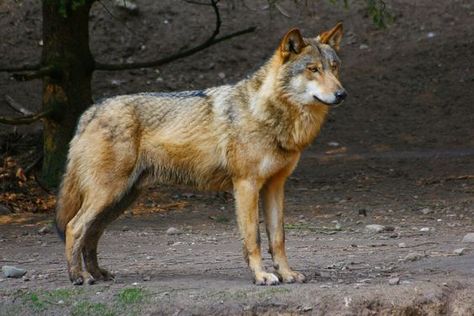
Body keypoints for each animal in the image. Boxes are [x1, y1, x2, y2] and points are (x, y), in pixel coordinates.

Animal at [55, 23, 346, 286]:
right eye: (313, 69)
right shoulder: (246, 185)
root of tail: (90, 111)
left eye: (334, 67)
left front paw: (286, 274)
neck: (268, 114)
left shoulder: (275, 186)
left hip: (120, 199)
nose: (342, 94)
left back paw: (98, 274)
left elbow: (278, 238)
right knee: (74, 227)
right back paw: (78, 276)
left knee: (91, 234)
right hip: (108, 194)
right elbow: (253, 239)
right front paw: (261, 276)